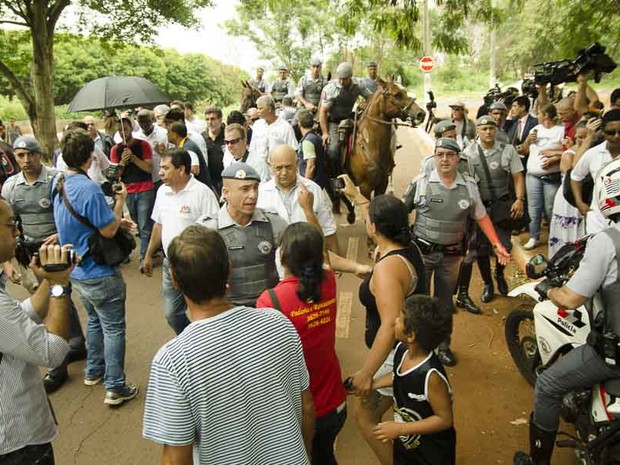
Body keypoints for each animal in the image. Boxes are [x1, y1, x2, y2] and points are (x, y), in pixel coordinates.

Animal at [344, 75, 426, 220]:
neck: (370, 147)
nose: (420, 114)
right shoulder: (365, 188)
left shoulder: (382, 184)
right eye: (397, 94)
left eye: (405, 92)